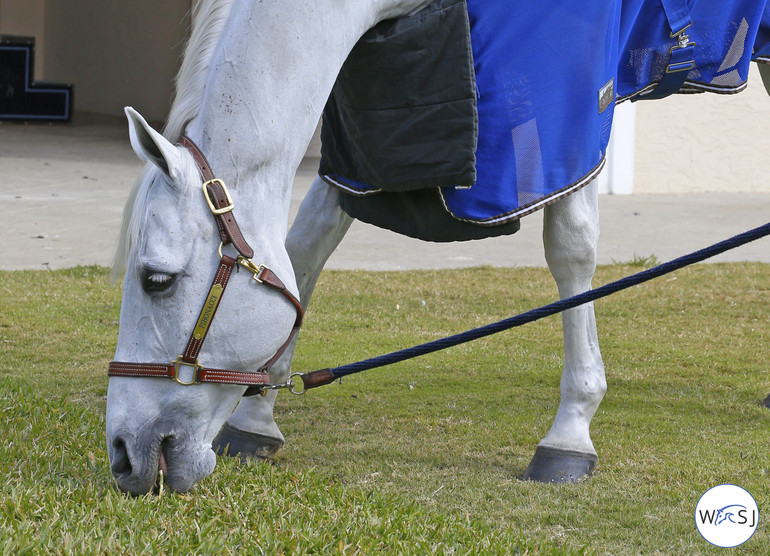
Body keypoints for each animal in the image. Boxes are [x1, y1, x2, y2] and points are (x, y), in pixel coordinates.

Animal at [106, 0, 768, 496]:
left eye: (155, 279)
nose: (123, 455)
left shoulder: (569, 118)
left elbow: (571, 250)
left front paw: (570, 432)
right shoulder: (366, 142)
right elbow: (308, 244)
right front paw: (257, 418)